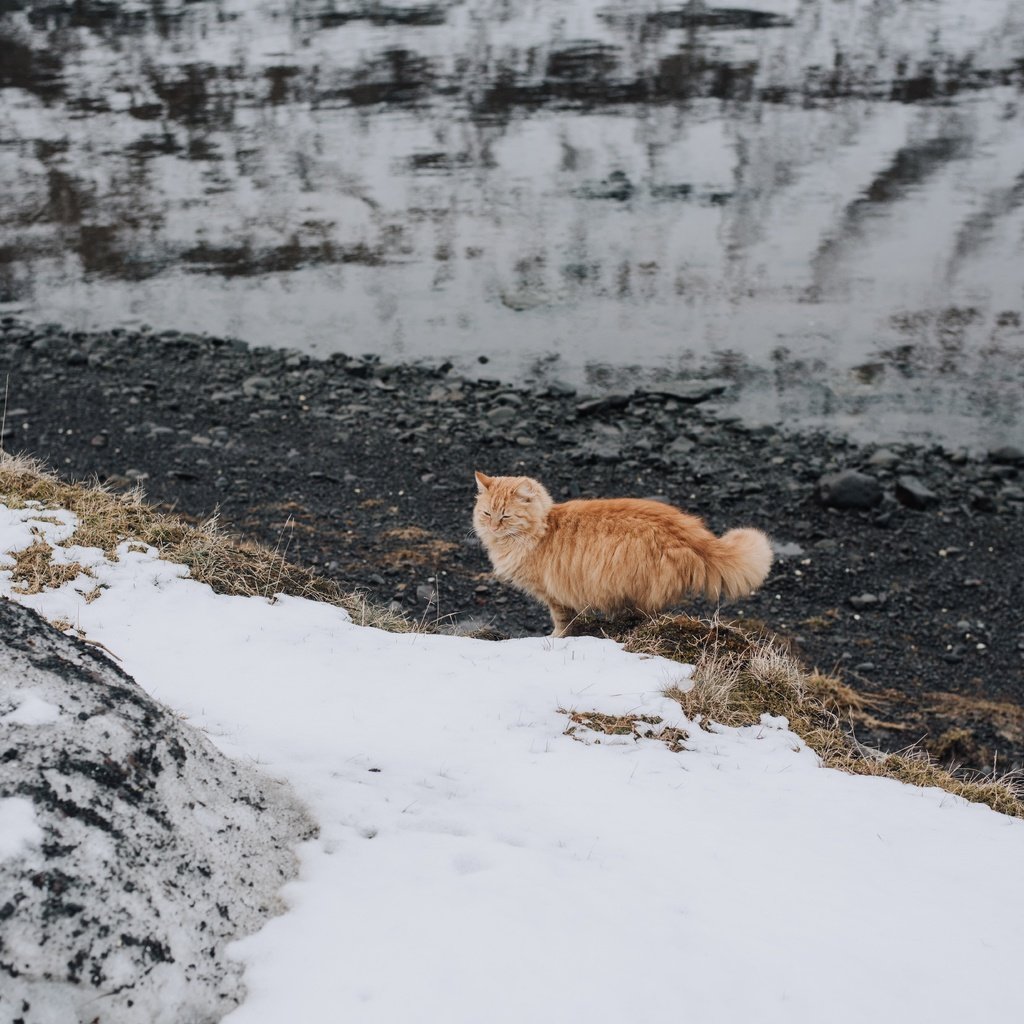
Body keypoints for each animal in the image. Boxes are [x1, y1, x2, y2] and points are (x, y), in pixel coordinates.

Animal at [475, 468, 770, 630]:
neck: (543, 528)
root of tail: (690, 533)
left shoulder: (554, 595)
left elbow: (562, 623)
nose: (493, 527)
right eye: (487, 513)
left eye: (506, 517)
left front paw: (555, 639)